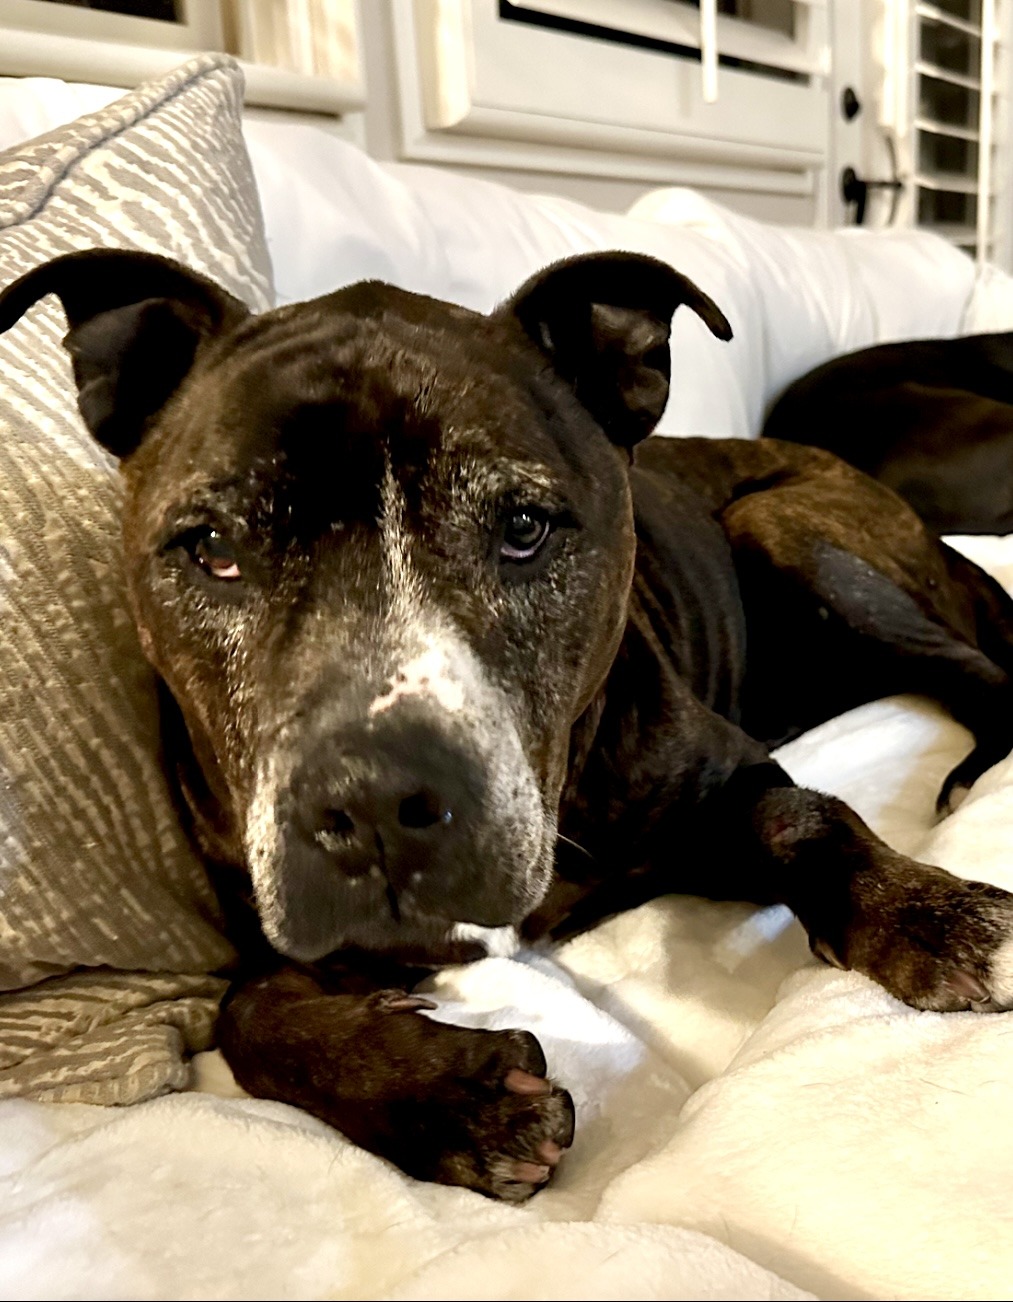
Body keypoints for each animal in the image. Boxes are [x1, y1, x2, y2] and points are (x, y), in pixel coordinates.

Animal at [1, 248, 1010, 1203]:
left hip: (784, 526)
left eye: (523, 527)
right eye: (212, 548)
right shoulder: (286, 936)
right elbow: (250, 1019)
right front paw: (450, 1102)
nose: (375, 803)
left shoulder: (728, 780)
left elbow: (806, 819)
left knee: (984, 671)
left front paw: (937, 921)